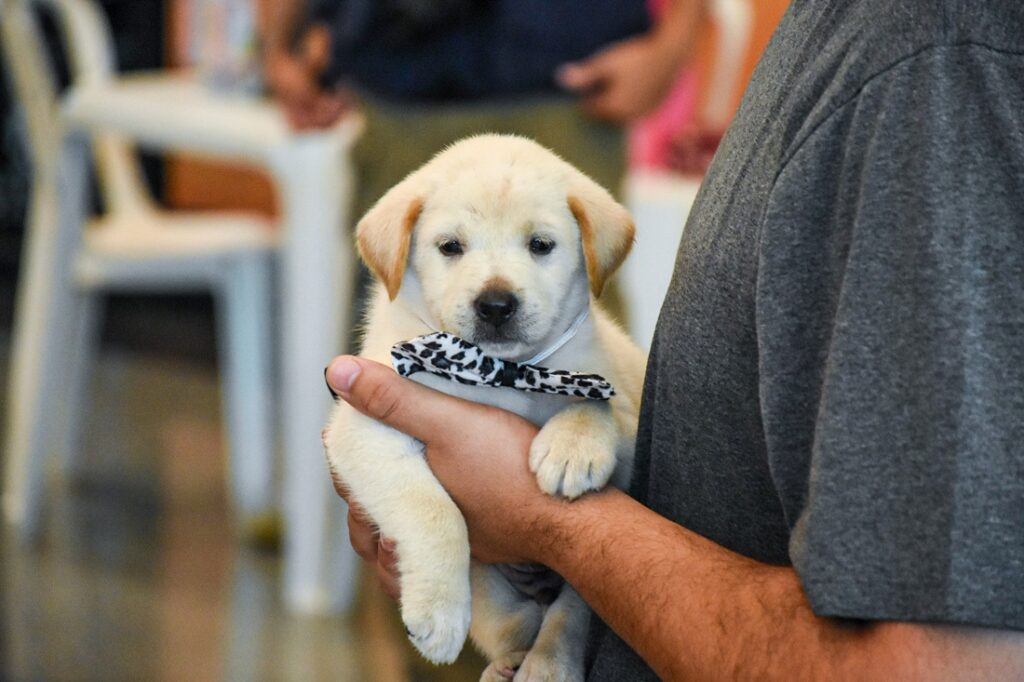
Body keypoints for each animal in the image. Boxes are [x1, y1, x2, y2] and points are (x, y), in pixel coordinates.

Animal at [323, 135, 643, 675]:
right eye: (450, 246)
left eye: (540, 245)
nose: (496, 305)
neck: (500, 373)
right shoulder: (365, 431)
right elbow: (435, 511)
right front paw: (439, 612)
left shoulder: (624, 416)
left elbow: (595, 402)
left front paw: (574, 446)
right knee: (512, 620)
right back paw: (510, 660)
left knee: (570, 612)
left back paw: (547, 665)